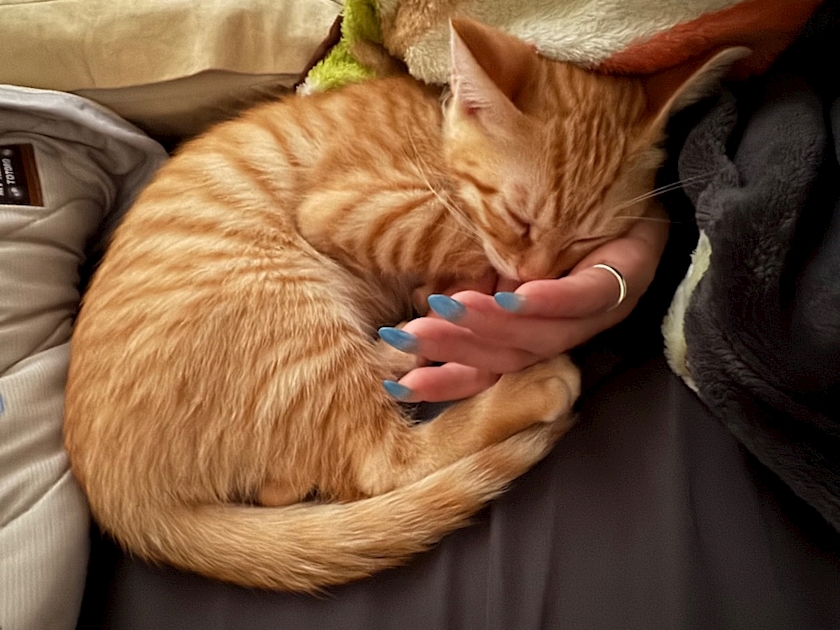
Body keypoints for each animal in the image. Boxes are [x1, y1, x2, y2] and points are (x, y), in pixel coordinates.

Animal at [63, 18, 746, 592]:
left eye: (586, 242)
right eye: (519, 219)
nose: (532, 277)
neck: (433, 135)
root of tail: (116, 497)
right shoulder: (348, 207)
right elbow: (449, 233)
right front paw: (473, 275)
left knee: (296, 482)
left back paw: (402, 357)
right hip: (290, 313)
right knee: (378, 465)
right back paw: (525, 383)